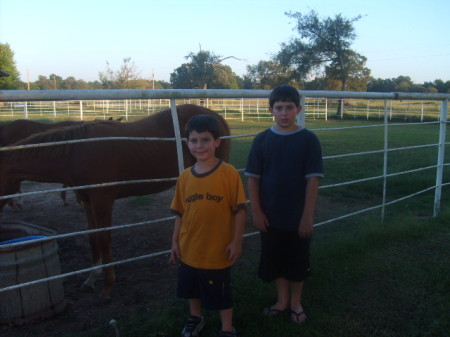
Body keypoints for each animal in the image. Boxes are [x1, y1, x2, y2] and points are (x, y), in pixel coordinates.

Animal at [0, 105, 230, 296]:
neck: (76, 153)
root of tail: (216, 115)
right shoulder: (87, 202)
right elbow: (93, 237)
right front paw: (91, 278)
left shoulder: (102, 200)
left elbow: (104, 238)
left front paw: (108, 285)